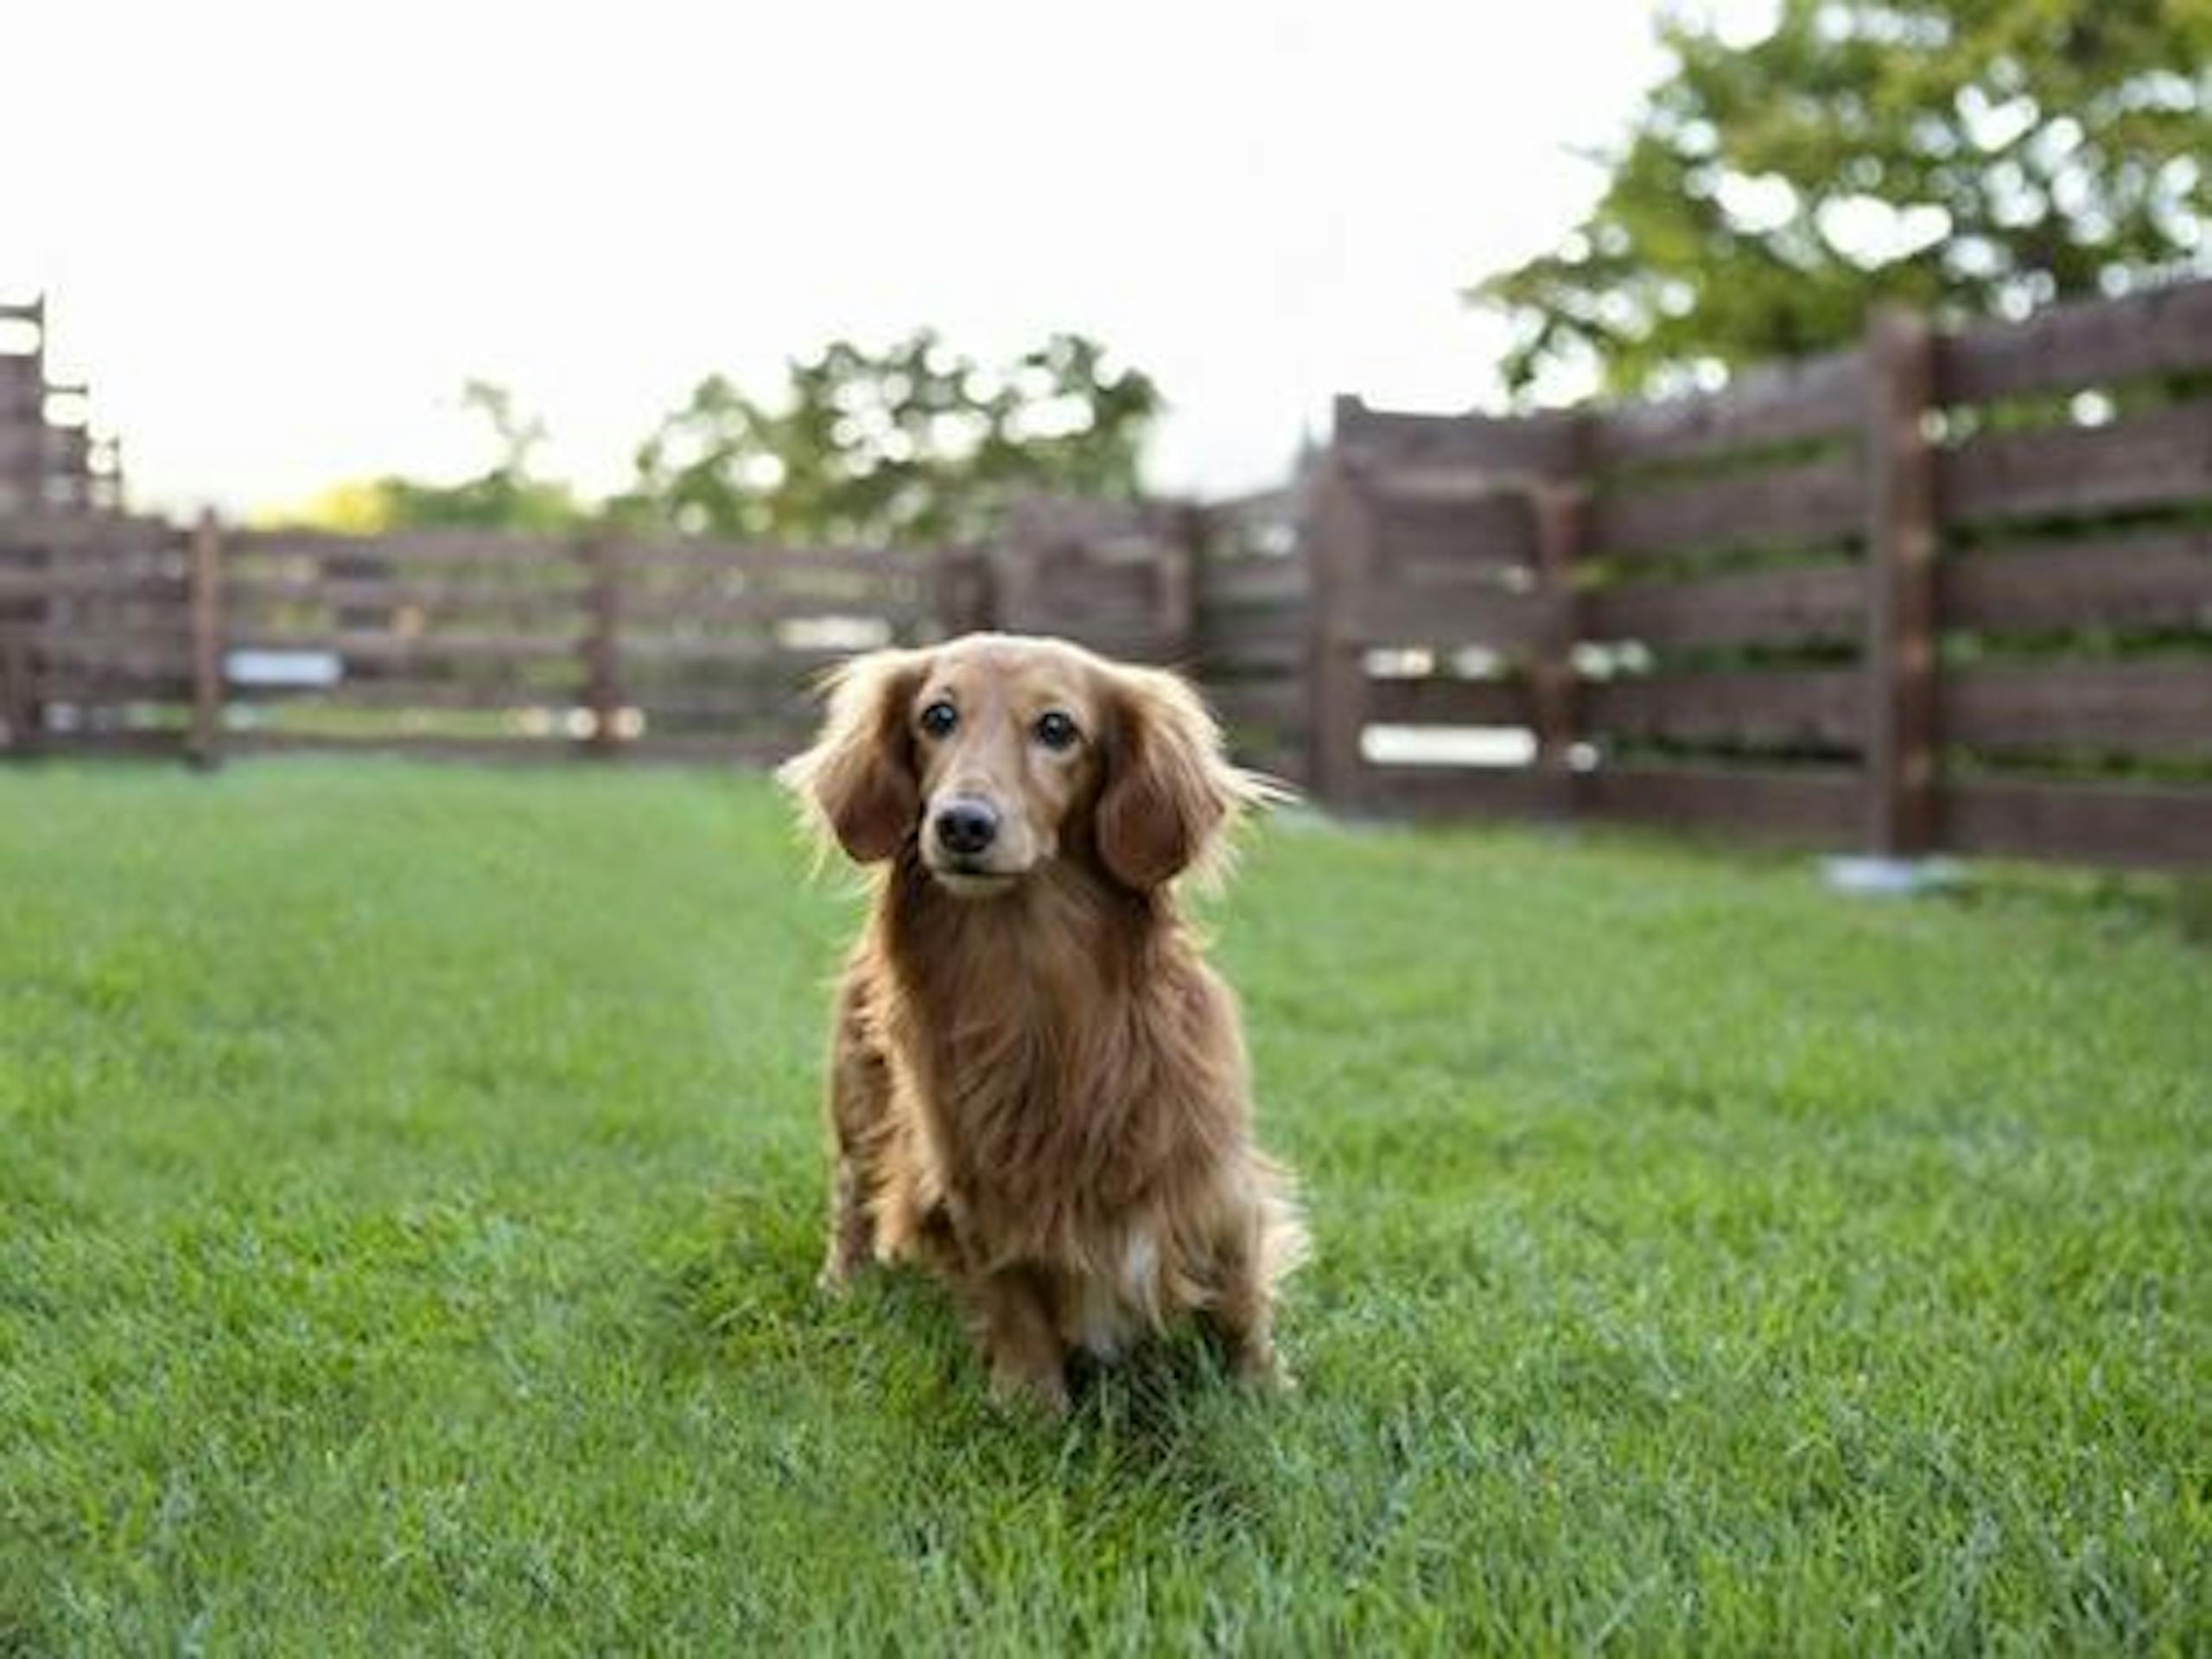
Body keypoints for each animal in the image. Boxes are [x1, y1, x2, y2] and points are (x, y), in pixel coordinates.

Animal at [779, 637, 1300, 1415]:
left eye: (1057, 728)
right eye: (937, 716)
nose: (962, 824)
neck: (1027, 972)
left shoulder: (1209, 1172)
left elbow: (1239, 1294)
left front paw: (1263, 1390)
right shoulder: (973, 1181)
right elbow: (1011, 1294)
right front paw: (1032, 1406)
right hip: (857, 1096)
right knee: (852, 1194)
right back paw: (845, 1288)